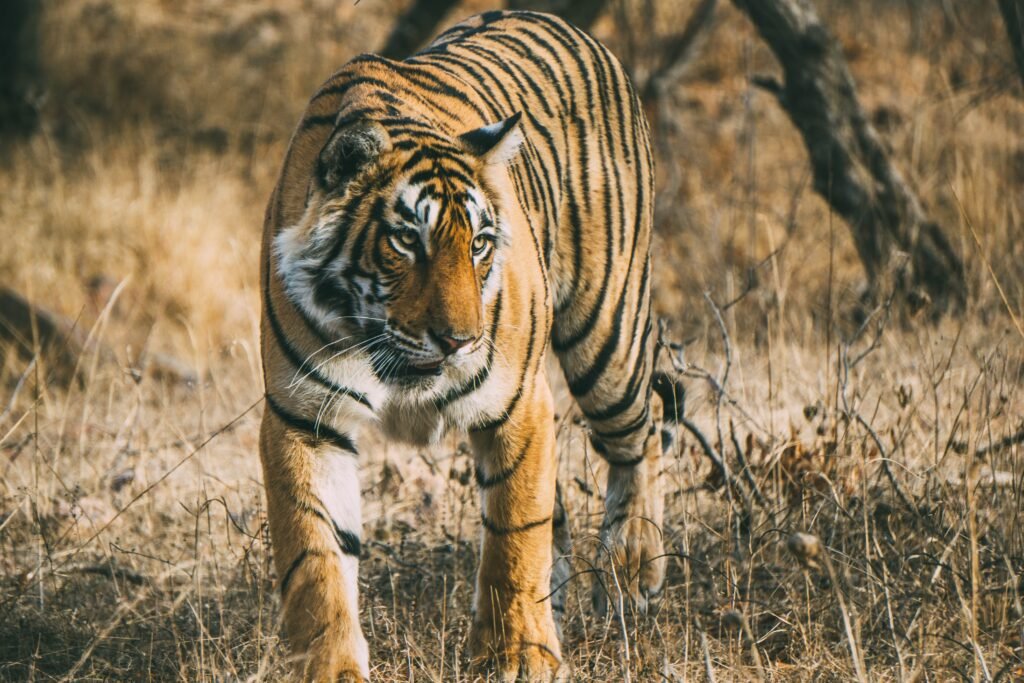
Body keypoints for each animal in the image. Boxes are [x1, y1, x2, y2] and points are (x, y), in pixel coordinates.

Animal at [259, 9, 672, 681]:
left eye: (478, 243)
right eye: (406, 241)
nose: (460, 341)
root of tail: (569, 25)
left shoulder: (520, 402)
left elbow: (516, 531)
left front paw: (520, 656)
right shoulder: (305, 417)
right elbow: (315, 555)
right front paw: (328, 666)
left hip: (606, 333)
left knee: (645, 426)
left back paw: (632, 568)